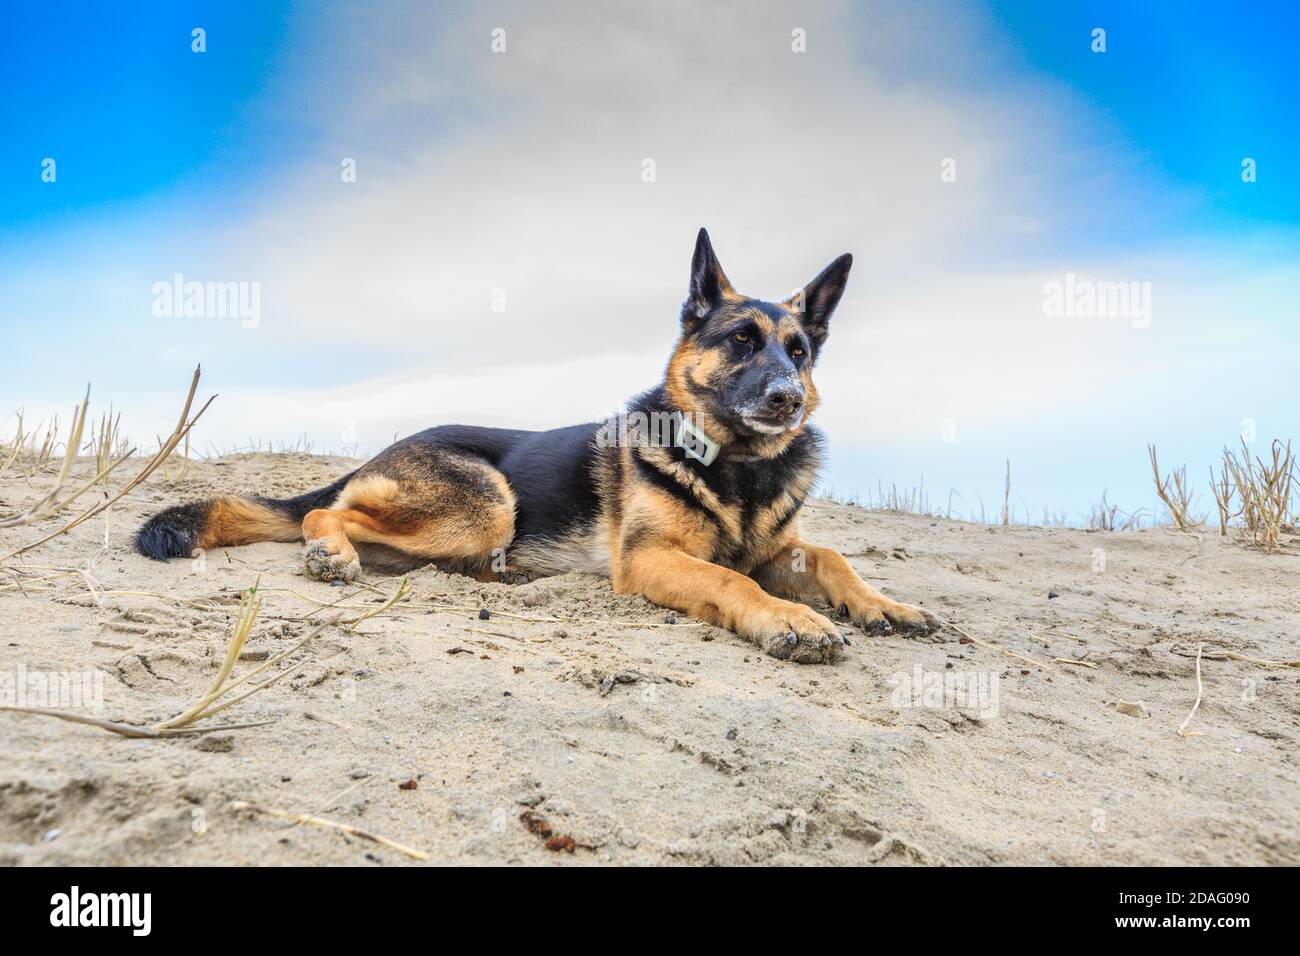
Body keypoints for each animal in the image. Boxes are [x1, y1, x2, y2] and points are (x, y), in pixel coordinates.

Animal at [137, 231, 941, 665]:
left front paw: (884, 604)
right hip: (488, 503)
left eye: (799, 352)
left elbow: (830, 556)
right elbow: (730, 581)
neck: (739, 468)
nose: (788, 398)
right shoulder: (650, 560)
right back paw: (330, 551)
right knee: (322, 513)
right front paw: (790, 620)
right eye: (742, 341)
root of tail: (381, 453)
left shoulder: (779, 547)